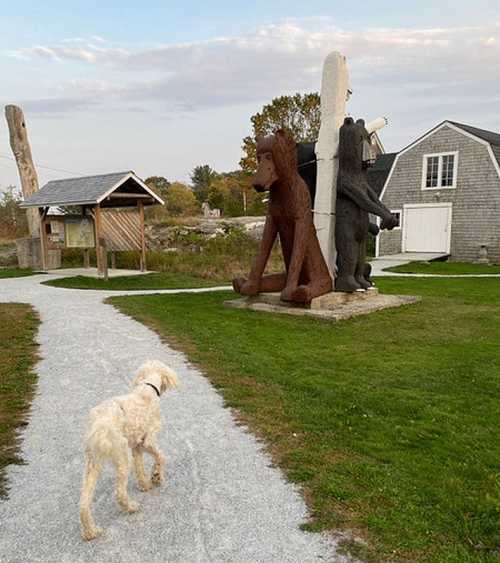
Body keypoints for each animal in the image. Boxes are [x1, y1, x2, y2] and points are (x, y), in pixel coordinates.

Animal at [79, 362, 179, 540]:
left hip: (92, 463)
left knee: (84, 502)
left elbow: (140, 468)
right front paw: (156, 476)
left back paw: (90, 531)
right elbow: (161, 457)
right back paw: (131, 507)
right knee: (119, 493)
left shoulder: (137, 447)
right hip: (122, 457)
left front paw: (145, 484)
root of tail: (99, 426)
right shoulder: (147, 441)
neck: (146, 390)